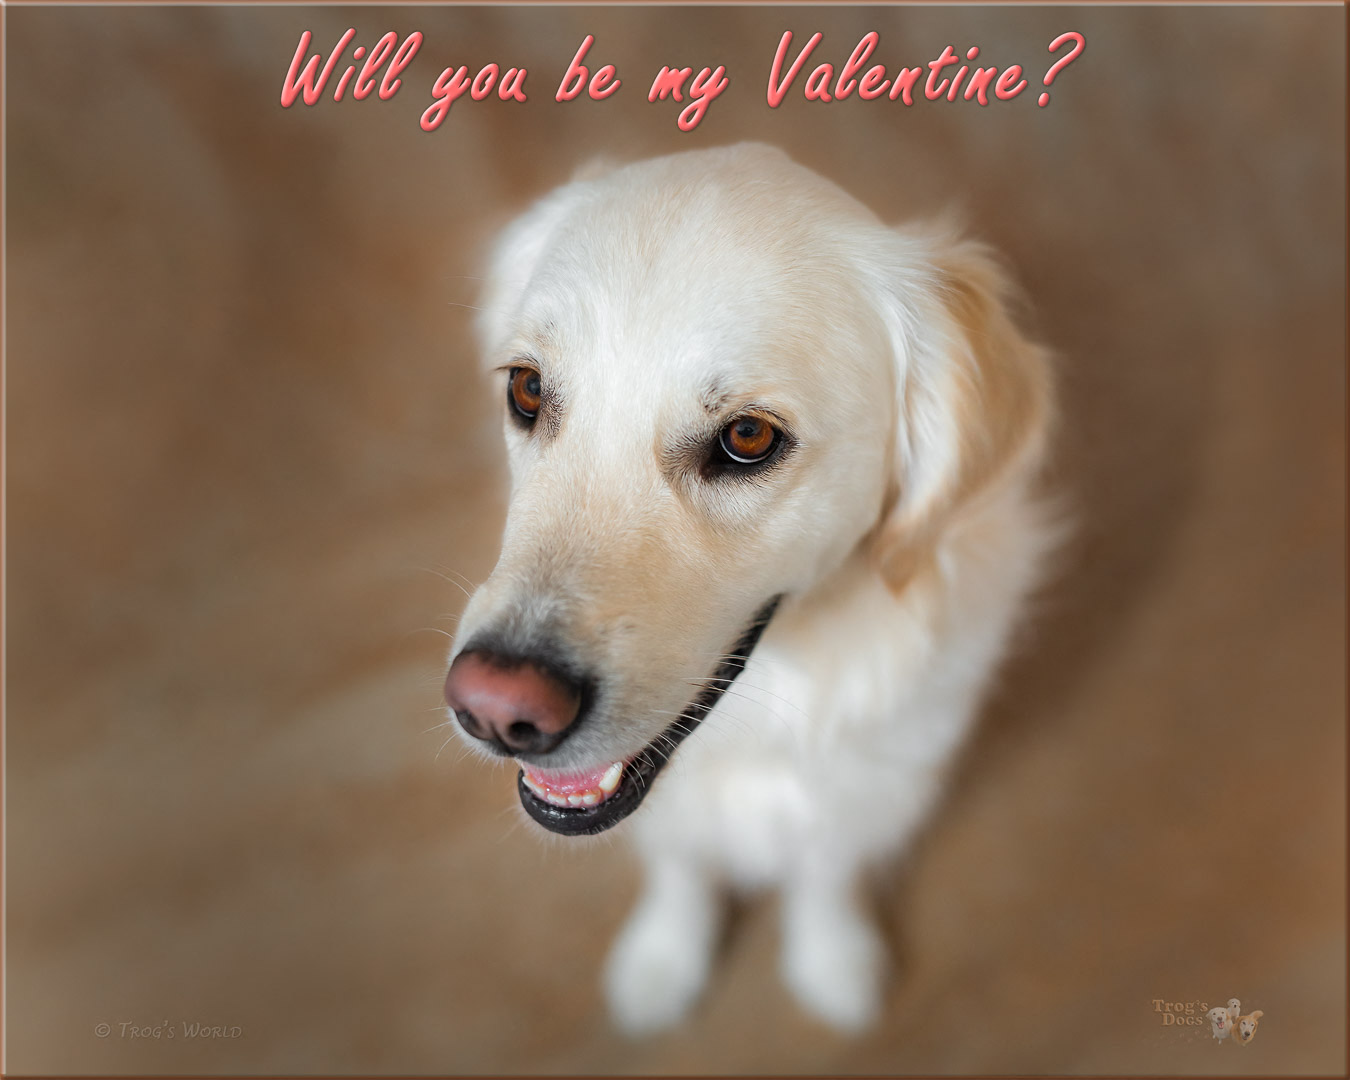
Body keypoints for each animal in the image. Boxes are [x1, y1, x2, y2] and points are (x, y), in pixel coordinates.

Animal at [442, 139, 1053, 1031]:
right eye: (526, 388)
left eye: (749, 438)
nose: (496, 710)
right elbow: (682, 871)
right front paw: (664, 960)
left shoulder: (866, 791)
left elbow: (825, 876)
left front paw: (831, 957)